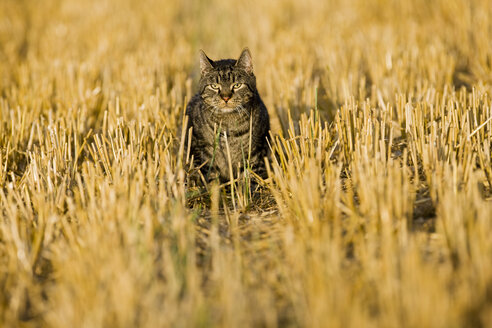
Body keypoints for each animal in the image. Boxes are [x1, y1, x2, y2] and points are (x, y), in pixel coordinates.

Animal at [185, 47, 270, 183]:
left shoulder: (256, 151)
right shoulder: (202, 150)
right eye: (214, 86)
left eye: (237, 85)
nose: (225, 97)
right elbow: (210, 175)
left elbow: (251, 177)